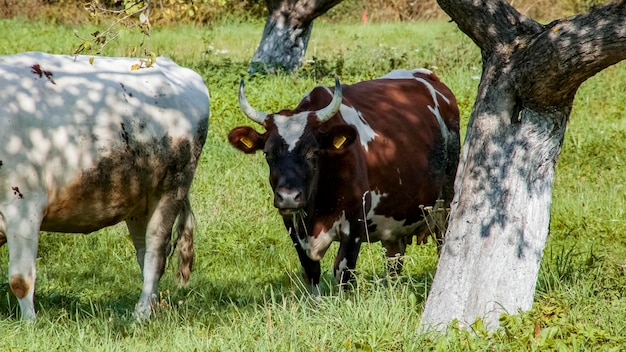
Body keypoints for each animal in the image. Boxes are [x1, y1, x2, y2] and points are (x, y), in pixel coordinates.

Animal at [0, 51, 210, 320]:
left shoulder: (24, 206)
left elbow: (20, 280)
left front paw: (30, 323)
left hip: (172, 189)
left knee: (156, 253)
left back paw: (141, 314)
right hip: (140, 202)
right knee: (144, 254)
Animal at [228, 69, 458, 292]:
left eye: (313, 152)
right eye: (268, 153)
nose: (289, 197)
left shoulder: (354, 225)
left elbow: (343, 272)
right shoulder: (292, 225)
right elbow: (310, 272)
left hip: (446, 206)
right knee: (394, 261)